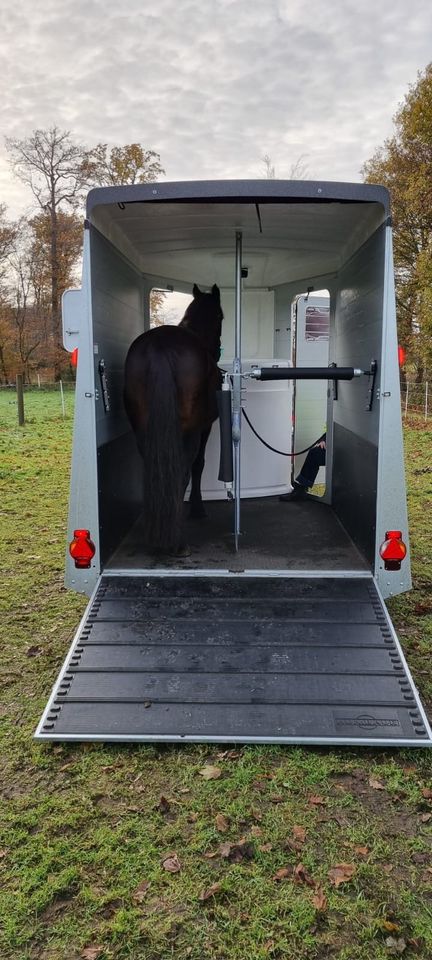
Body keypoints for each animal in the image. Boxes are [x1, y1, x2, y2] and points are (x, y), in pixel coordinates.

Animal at [122, 284, 221, 556]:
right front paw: (198, 509)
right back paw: (177, 541)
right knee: (182, 471)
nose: (218, 350)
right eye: (221, 316)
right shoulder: (204, 428)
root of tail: (160, 344)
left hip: (142, 430)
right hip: (188, 432)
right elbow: (198, 465)